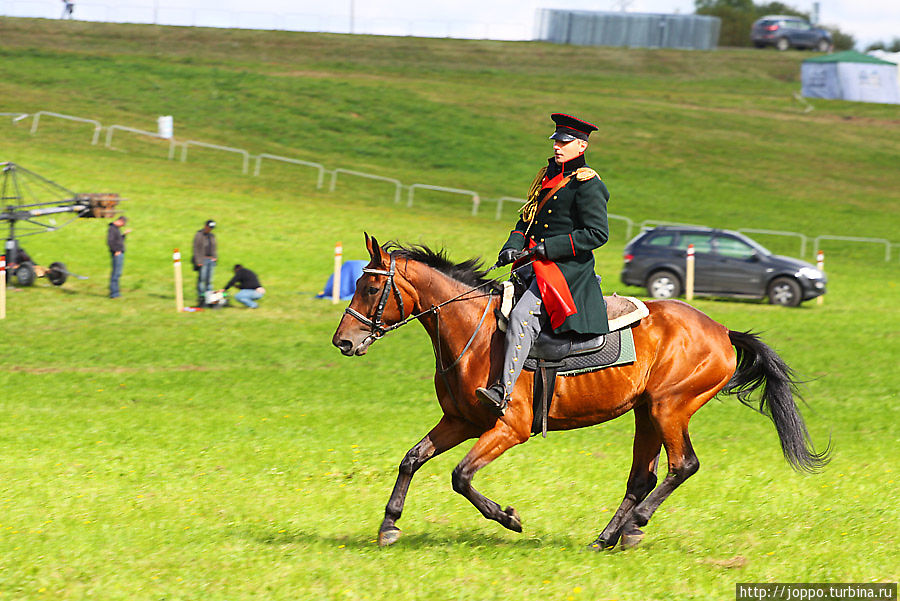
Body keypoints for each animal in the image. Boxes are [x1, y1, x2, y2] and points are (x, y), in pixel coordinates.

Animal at [330, 234, 828, 548]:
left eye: (370, 285)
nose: (343, 342)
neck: (473, 331)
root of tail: (722, 330)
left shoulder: (508, 428)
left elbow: (461, 476)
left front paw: (508, 517)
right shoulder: (460, 421)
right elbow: (412, 459)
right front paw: (389, 525)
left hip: (670, 408)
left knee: (683, 465)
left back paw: (635, 525)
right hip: (646, 412)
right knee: (642, 477)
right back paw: (610, 537)